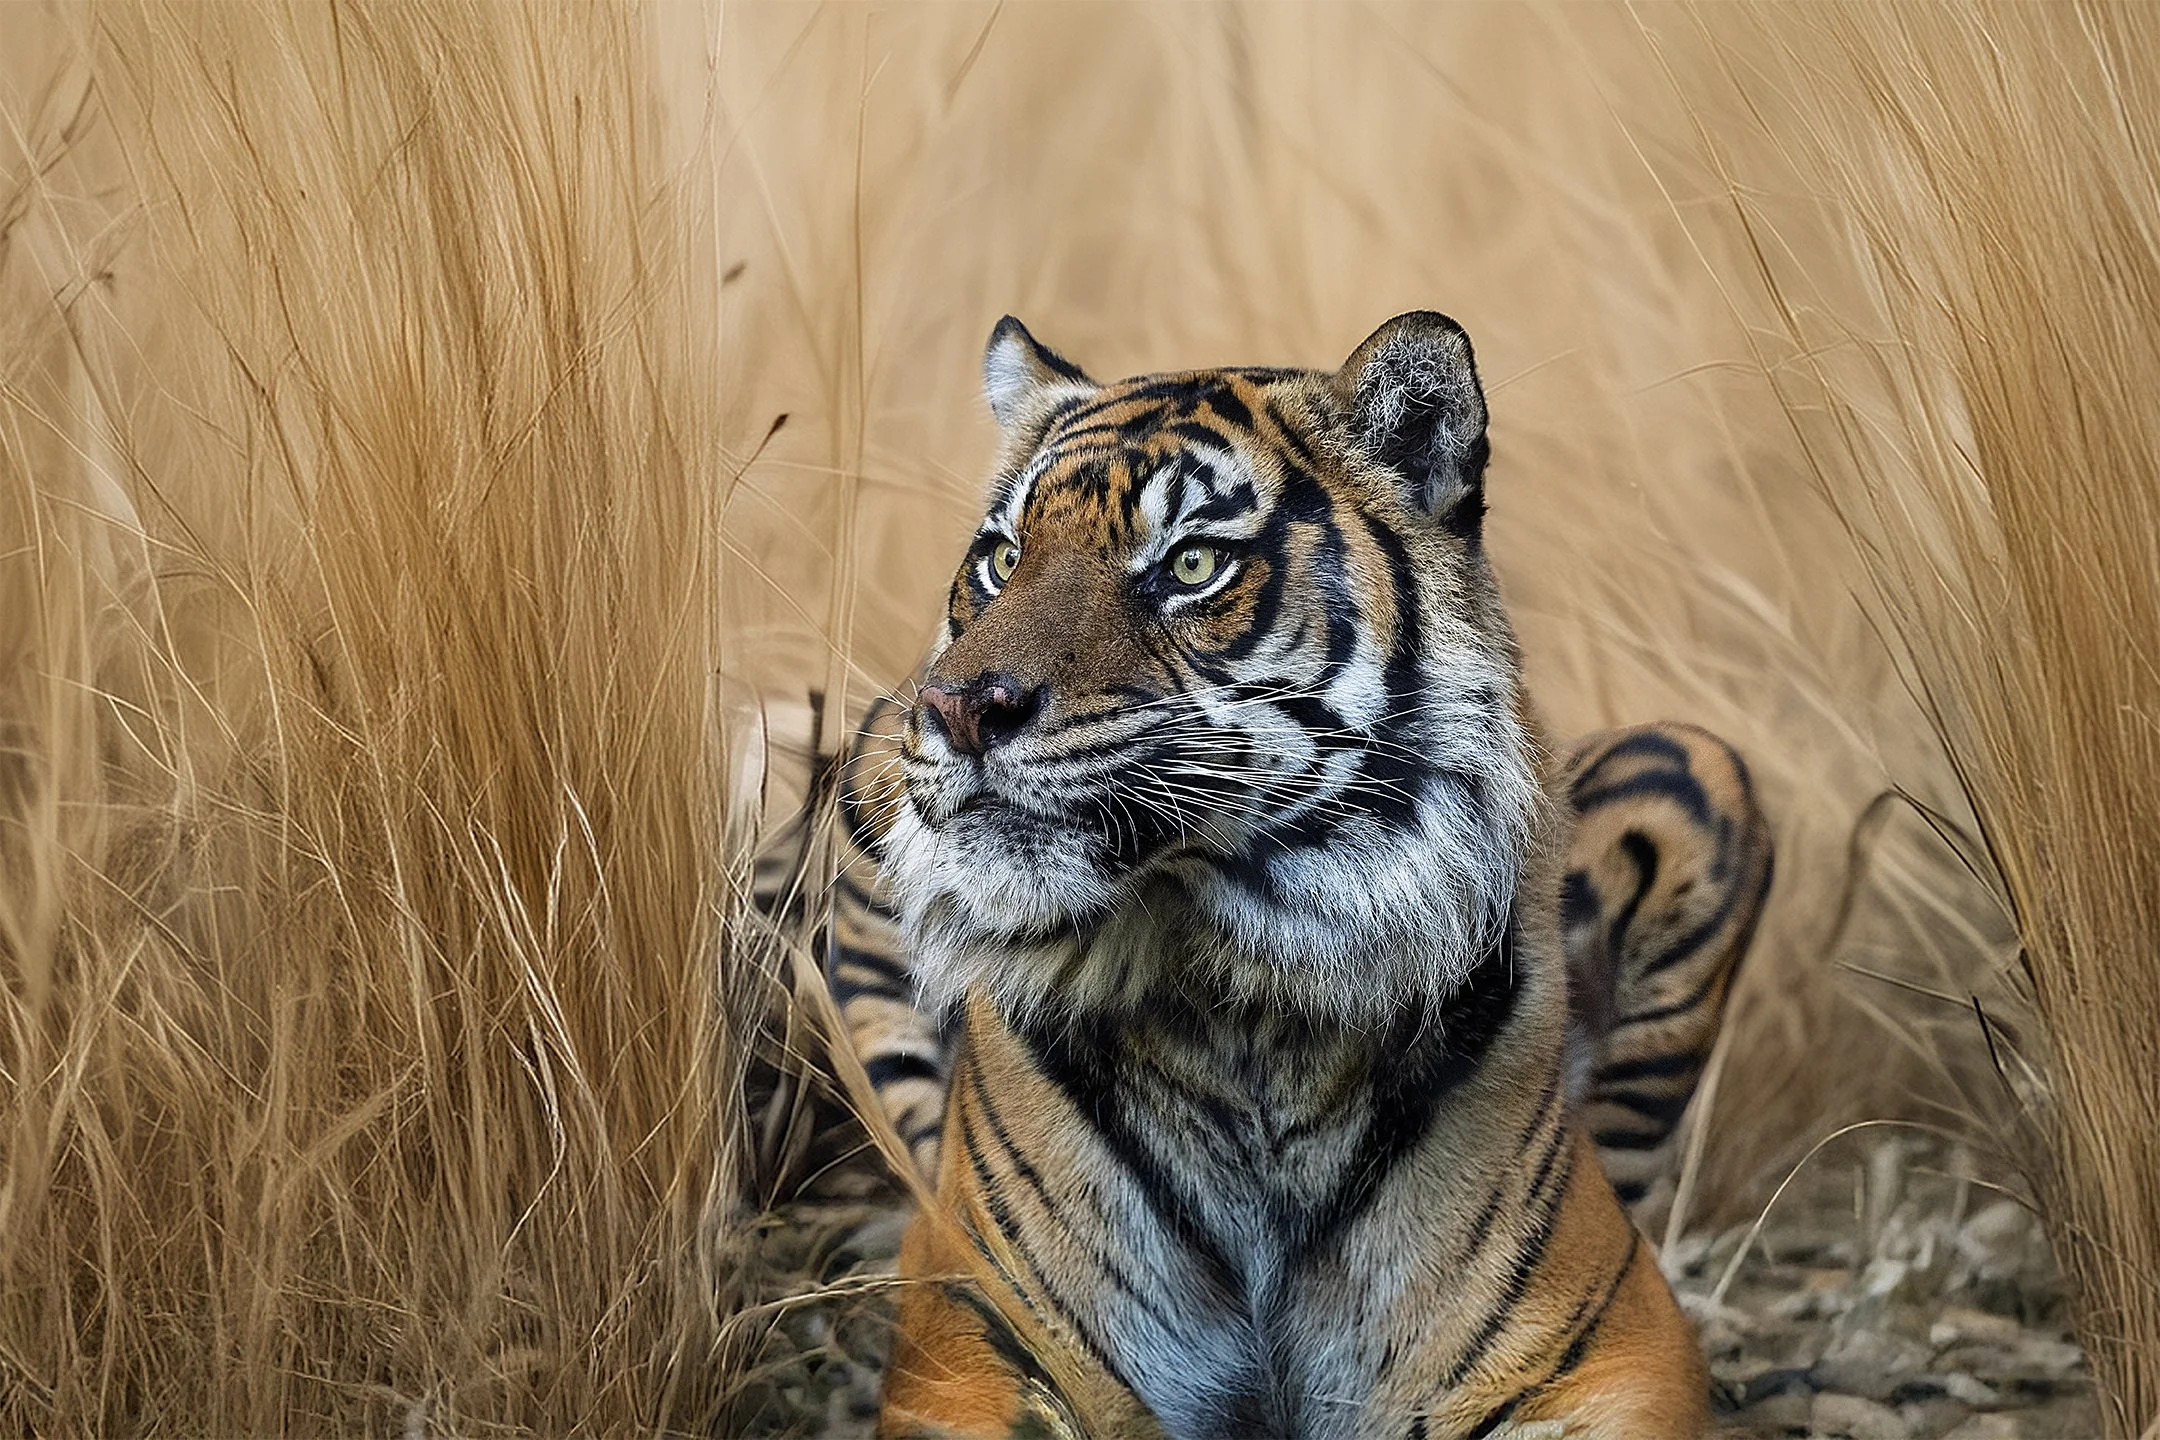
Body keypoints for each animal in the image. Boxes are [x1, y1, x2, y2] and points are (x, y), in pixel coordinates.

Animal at [817, 312, 1774, 1440]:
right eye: (1003, 559)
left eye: (1191, 563)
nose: (960, 709)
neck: (1245, 1008)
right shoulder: (967, 1338)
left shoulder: (1608, 1342)